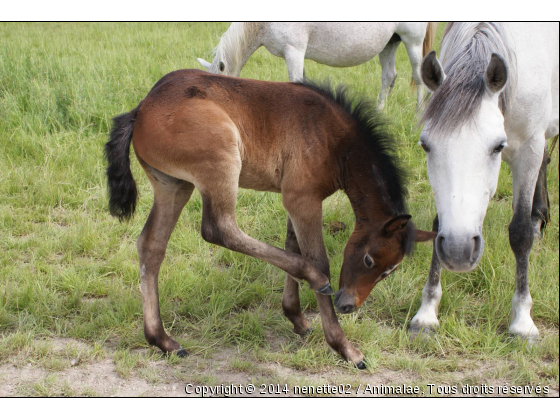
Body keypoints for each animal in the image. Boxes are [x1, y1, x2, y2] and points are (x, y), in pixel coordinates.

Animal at [106, 69, 438, 368]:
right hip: (220, 161)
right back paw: (315, 280)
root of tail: (142, 108)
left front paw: (295, 315)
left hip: (173, 184)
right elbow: (318, 259)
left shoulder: (295, 198)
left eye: (389, 272)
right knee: (218, 229)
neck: (336, 141)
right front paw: (344, 347)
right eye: (369, 260)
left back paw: (162, 340)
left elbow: (292, 245)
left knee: (151, 245)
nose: (347, 305)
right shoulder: (303, 198)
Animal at [197, 22, 438, 108]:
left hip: (413, 42)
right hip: (389, 43)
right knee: (388, 76)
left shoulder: (294, 51)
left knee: (419, 77)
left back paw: (419, 113)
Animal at [410, 23, 556, 342]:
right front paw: (427, 312)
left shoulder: (530, 147)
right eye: (426, 146)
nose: (459, 250)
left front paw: (522, 321)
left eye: (498, 146)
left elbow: (520, 232)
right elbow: (438, 225)